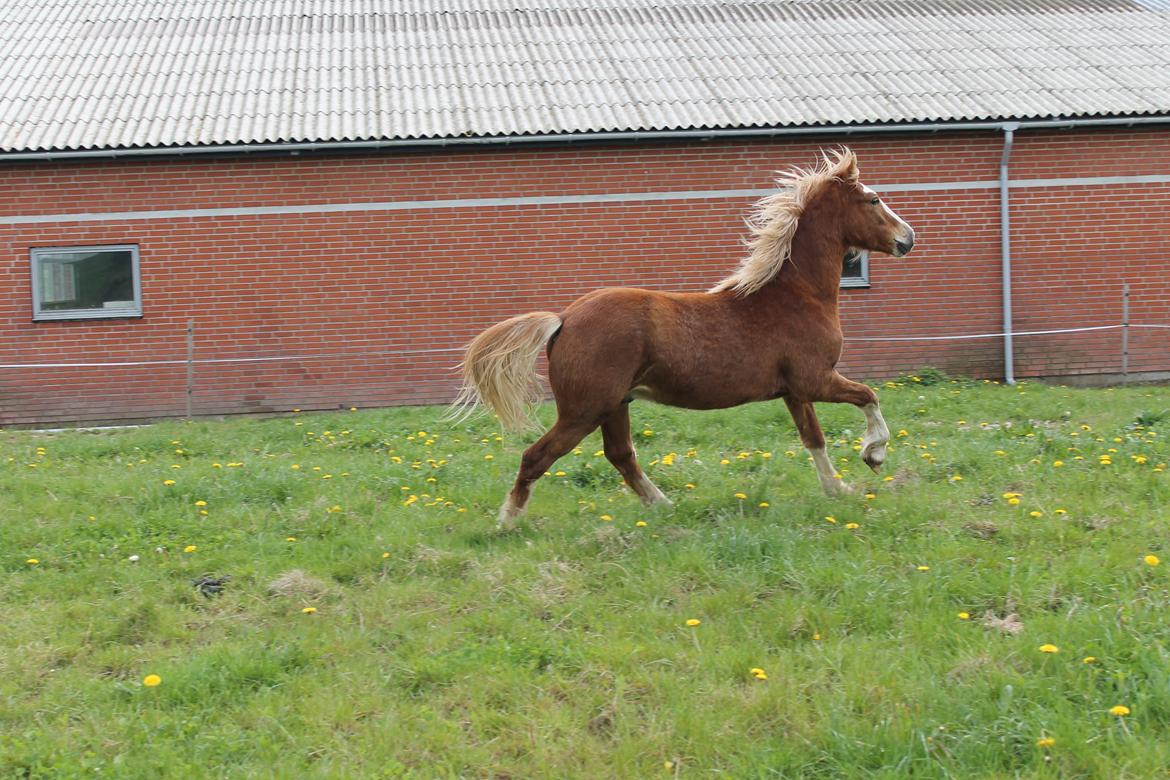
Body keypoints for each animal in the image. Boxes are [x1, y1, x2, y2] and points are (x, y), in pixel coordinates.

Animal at [446, 149, 912, 528]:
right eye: (873, 200)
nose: (907, 237)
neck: (795, 295)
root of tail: (563, 318)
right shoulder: (815, 380)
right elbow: (869, 396)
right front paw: (873, 455)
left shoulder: (795, 391)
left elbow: (813, 438)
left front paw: (839, 490)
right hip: (583, 411)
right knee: (537, 456)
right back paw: (507, 522)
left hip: (614, 405)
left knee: (621, 456)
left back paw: (666, 507)